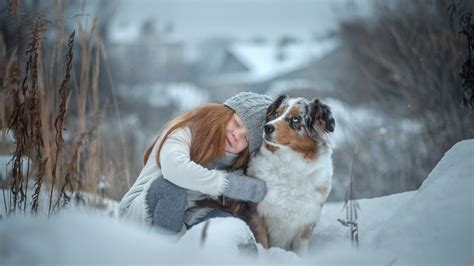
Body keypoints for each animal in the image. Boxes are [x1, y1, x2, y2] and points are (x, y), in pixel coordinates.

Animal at [244, 94, 336, 255]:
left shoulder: (304, 226)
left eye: (295, 119)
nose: (267, 127)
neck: (291, 166)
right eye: (275, 114)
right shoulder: (258, 215)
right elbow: (263, 244)